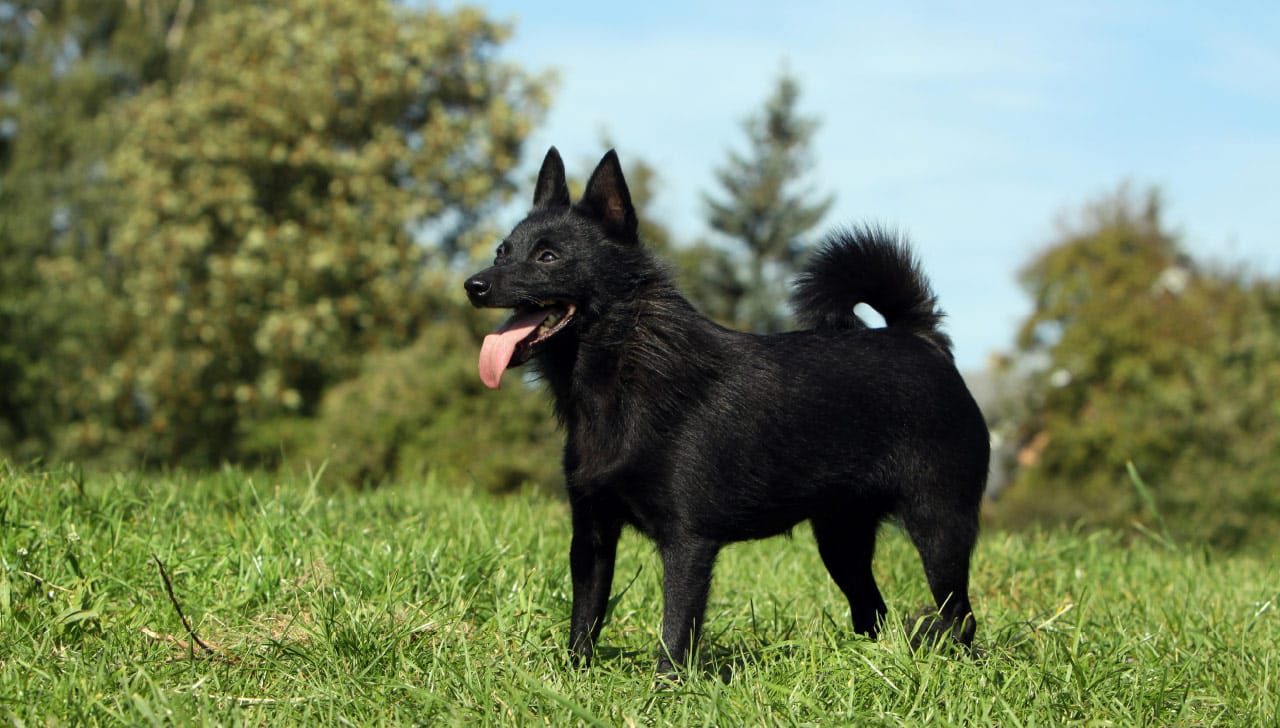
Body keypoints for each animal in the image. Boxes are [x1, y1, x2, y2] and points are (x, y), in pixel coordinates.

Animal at [463, 147, 988, 675]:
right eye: (502, 251)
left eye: (548, 256)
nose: (474, 284)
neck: (622, 371)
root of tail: (920, 339)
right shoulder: (591, 535)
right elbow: (585, 619)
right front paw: (572, 679)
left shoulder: (688, 545)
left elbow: (675, 633)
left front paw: (666, 689)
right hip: (841, 538)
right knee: (873, 613)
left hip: (938, 527)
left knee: (960, 615)